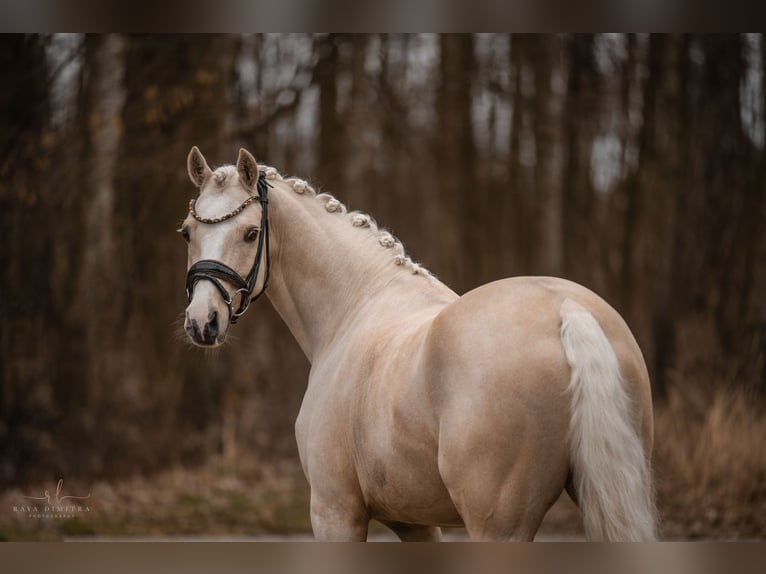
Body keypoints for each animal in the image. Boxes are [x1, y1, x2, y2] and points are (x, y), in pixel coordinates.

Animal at [182, 148, 660, 544]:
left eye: (249, 234)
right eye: (187, 233)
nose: (203, 322)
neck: (355, 304)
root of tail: (567, 309)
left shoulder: (335, 511)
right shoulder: (414, 522)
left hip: (497, 526)